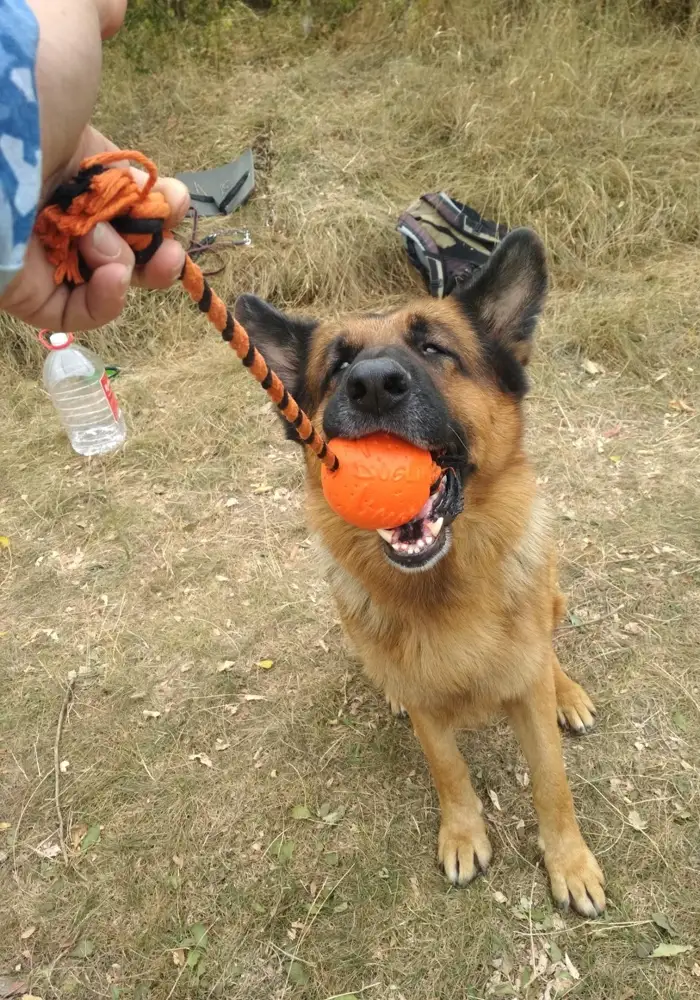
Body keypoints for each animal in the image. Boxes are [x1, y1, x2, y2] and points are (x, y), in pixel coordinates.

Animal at [237, 230, 608, 916]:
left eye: (435, 349)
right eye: (337, 367)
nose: (373, 385)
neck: (445, 590)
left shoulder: (528, 701)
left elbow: (551, 782)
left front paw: (569, 863)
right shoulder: (430, 715)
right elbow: (449, 769)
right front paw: (463, 834)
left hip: (552, 598)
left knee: (549, 650)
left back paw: (566, 690)